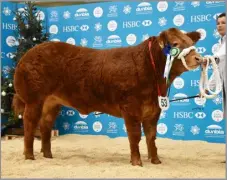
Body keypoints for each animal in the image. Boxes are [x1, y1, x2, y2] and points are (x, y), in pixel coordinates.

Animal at [12, 27, 202, 167]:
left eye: (191, 42)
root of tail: (27, 55)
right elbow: (135, 135)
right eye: (176, 43)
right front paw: (137, 162)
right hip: (34, 99)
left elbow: (151, 136)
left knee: (45, 126)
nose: (199, 58)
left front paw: (155, 160)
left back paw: (48, 155)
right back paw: (29, 156)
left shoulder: (154, 110)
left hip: (52, 102)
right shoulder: (130, 107)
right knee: (29, 124)